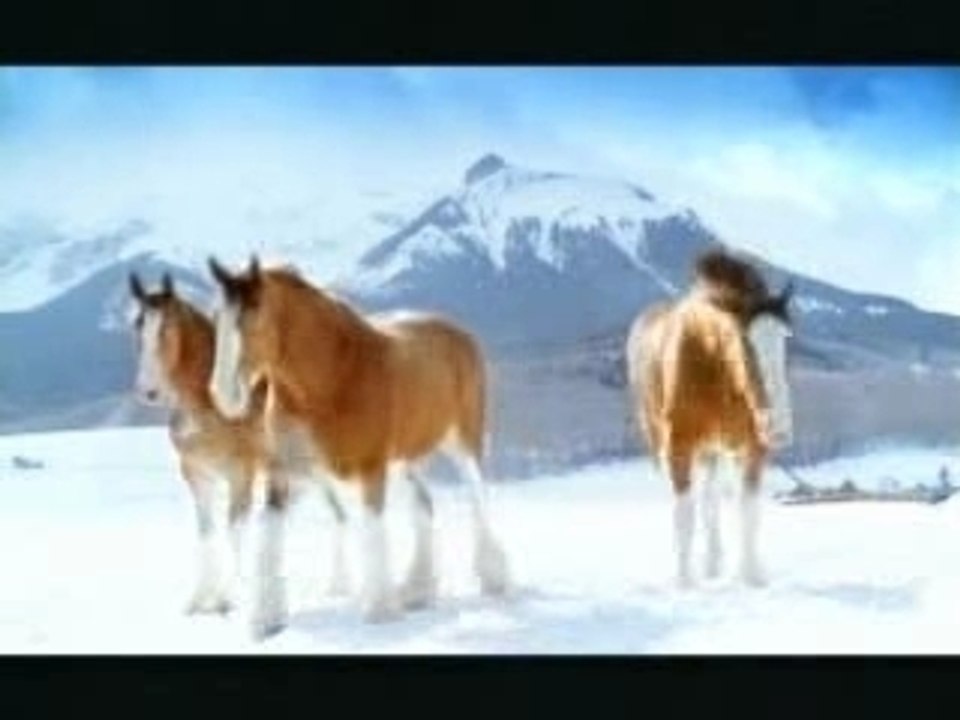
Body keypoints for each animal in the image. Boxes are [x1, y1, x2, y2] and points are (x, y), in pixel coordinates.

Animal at [128, 271, 351, 617]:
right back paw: (336, 587)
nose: (148, 391)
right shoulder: (196, 475)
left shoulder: (240, 474)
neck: (210, 405)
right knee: (337, 515)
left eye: (167, 327)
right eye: (137, 326)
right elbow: (206, 532)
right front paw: (199, 600)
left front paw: (230, 598)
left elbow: (233, 529)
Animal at [205, 256, 511, 638]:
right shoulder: (287, 472)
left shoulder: (370, 468)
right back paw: (417, 591)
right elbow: (267, 535)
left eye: (255, 313)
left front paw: (379, 611)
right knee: (424, 505)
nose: (223, 395)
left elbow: (372, 531)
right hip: (405, 459)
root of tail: (457, 332)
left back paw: (494, 580)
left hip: (462, 443)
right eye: (216, 317)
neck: (330, 379)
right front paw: (265, 620)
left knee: (477, 497)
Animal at [625, 249, 795, 589]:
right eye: (744, 343)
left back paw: (714, 562)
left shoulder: (752, 448)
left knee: (711, 496)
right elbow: (684, 515)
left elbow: (747, 512)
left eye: (786, 340)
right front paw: (684, 582)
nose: (778, 428)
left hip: (714, 450)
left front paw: (750, 575)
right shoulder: (679, 446)